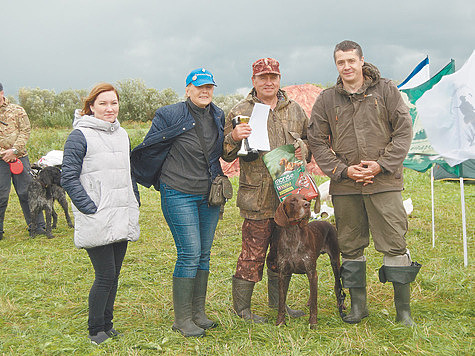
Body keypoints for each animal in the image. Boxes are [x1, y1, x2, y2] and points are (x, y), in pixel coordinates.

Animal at [274, 195, 348, 328]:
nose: (307, 205)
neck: (293, 235)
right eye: (293, 200)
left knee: (337, 285)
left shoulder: (311, 272)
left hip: (335, 262)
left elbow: (314, 303)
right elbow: (281, 301)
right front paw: (280, 322)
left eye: (304, 198)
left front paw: (313, 323)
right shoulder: (283, 274)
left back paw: (341, 304)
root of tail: (328, 223)